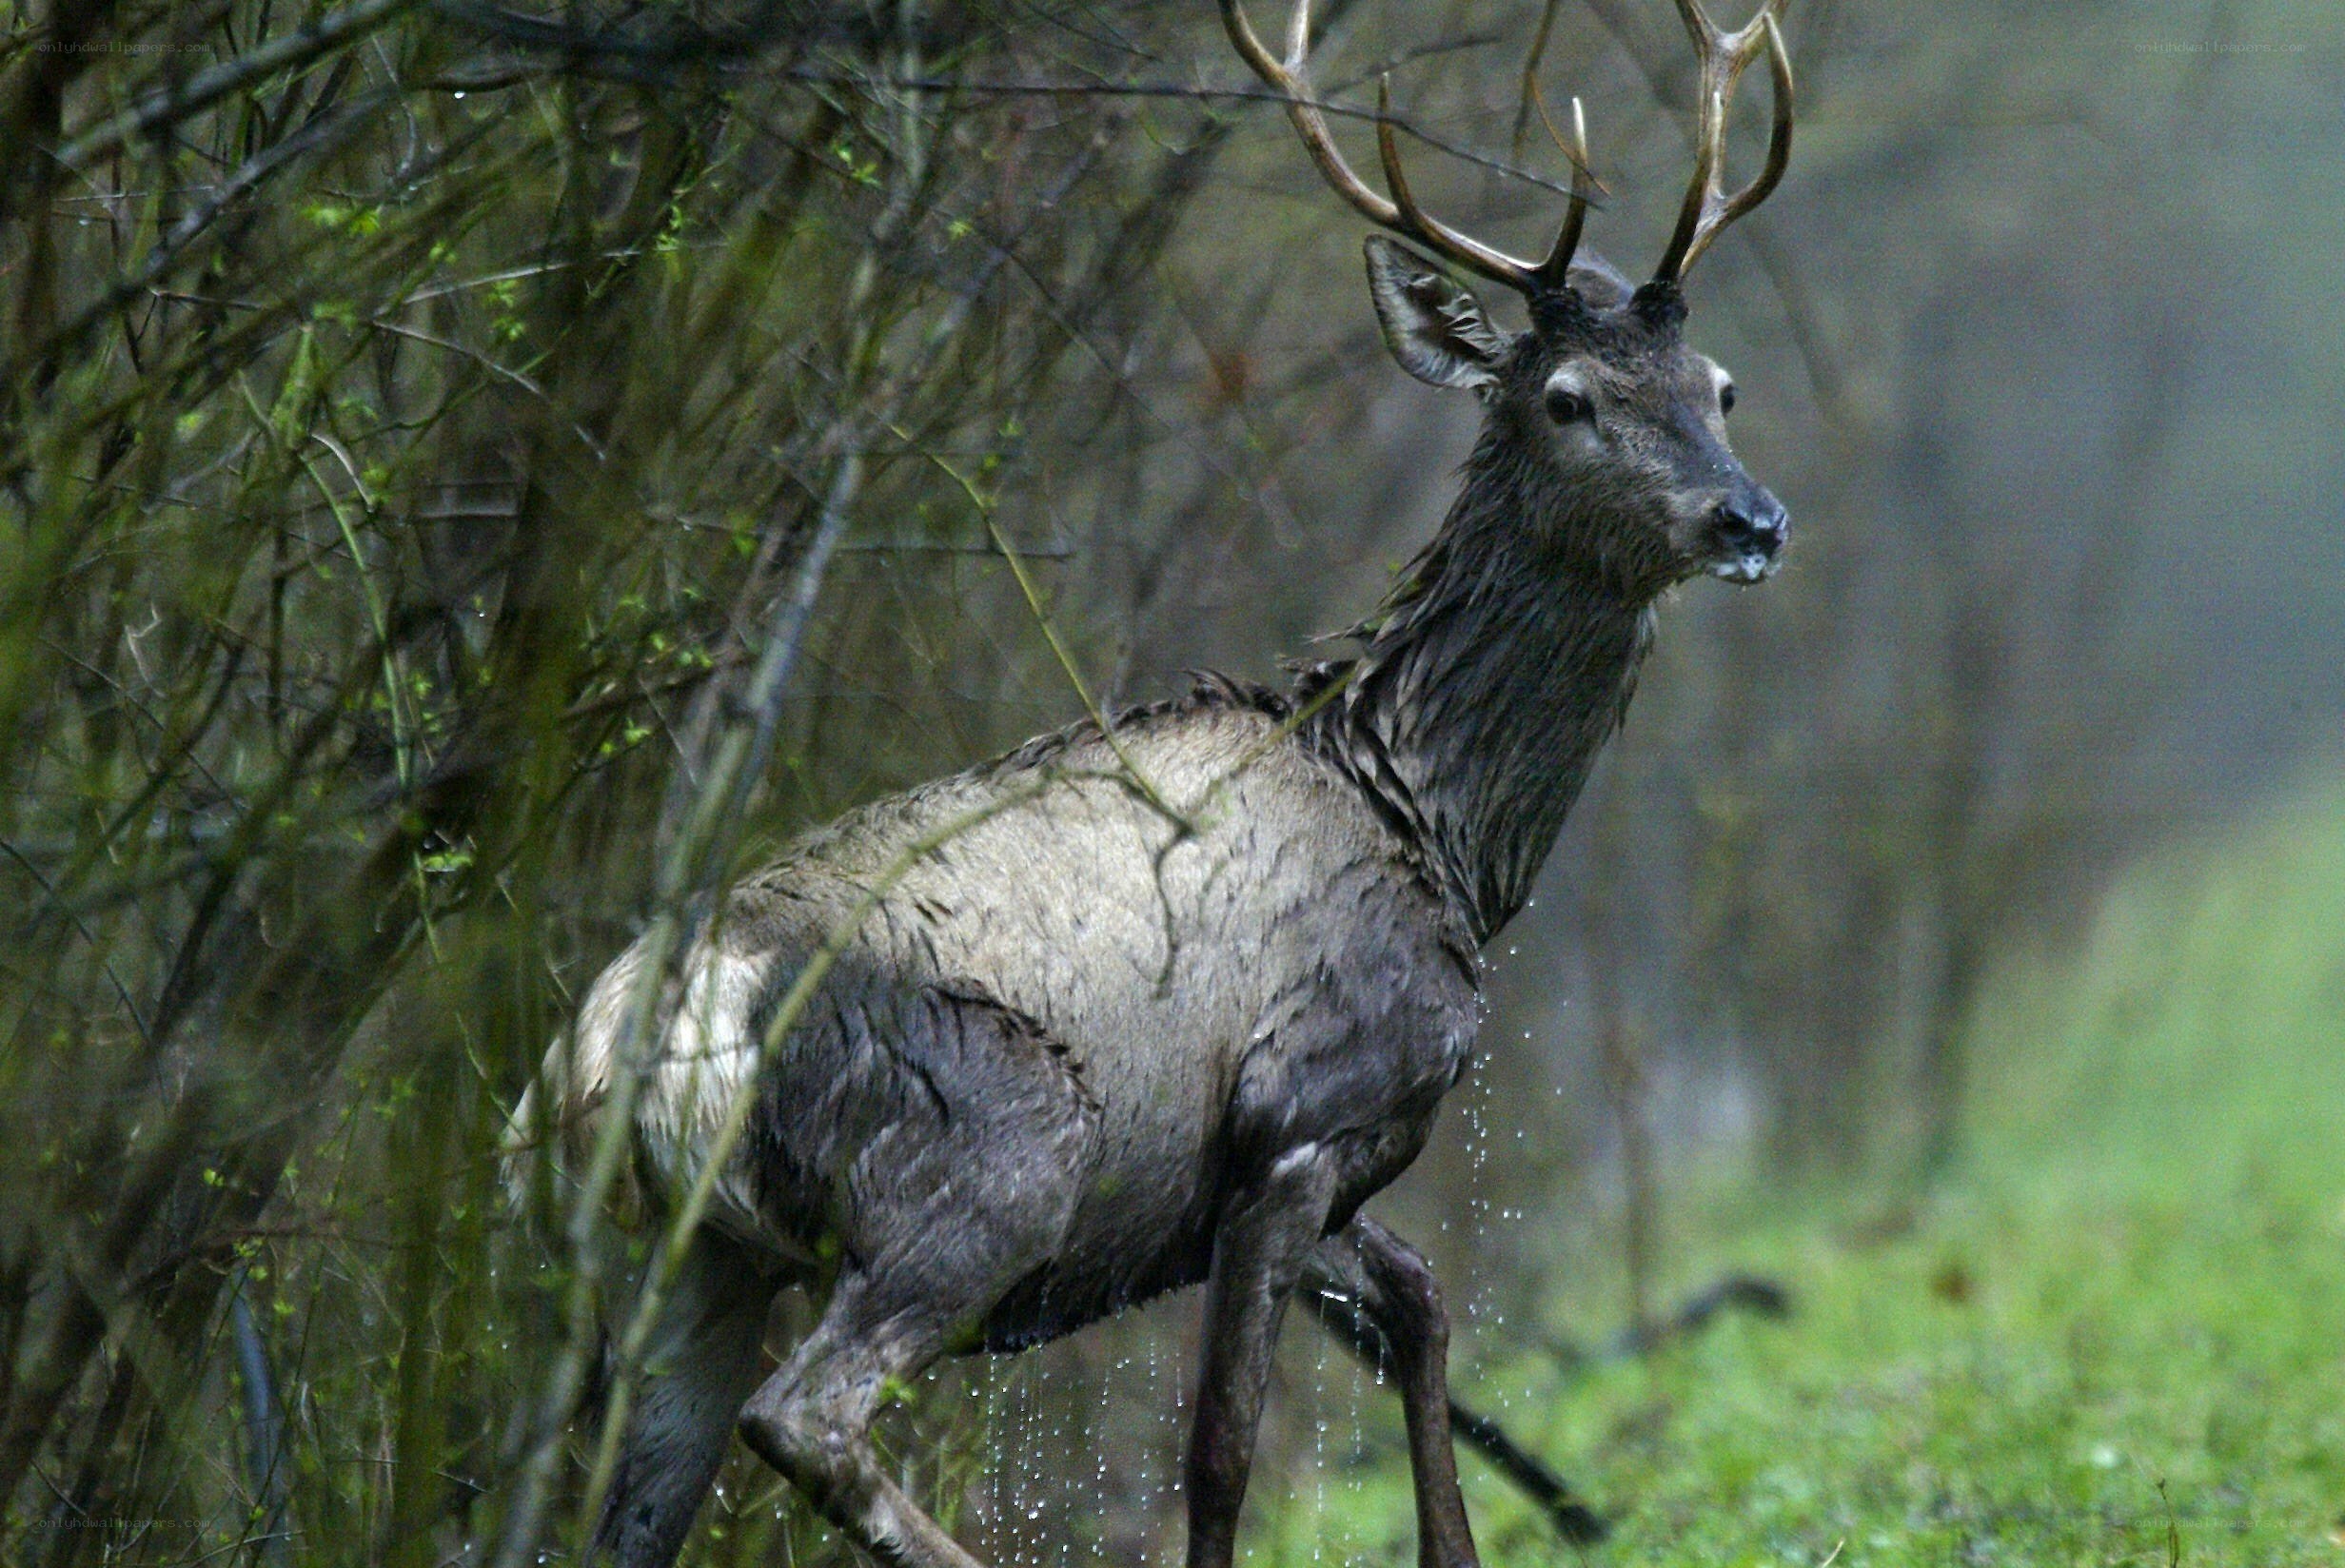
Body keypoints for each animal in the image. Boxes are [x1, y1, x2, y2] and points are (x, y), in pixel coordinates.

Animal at [509, 1, 1795, 1564]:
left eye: (1718, 385)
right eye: (1568, 398)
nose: (1749, 517)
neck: (1429, 824)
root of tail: (613, 1048)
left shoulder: (1250, 1174)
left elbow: (1424, 1302)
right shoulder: (1303, 1104)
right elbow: (1224, 1447)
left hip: (686, 1260)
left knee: (637, 1508)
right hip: (988, 1159)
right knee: (808, 1415)